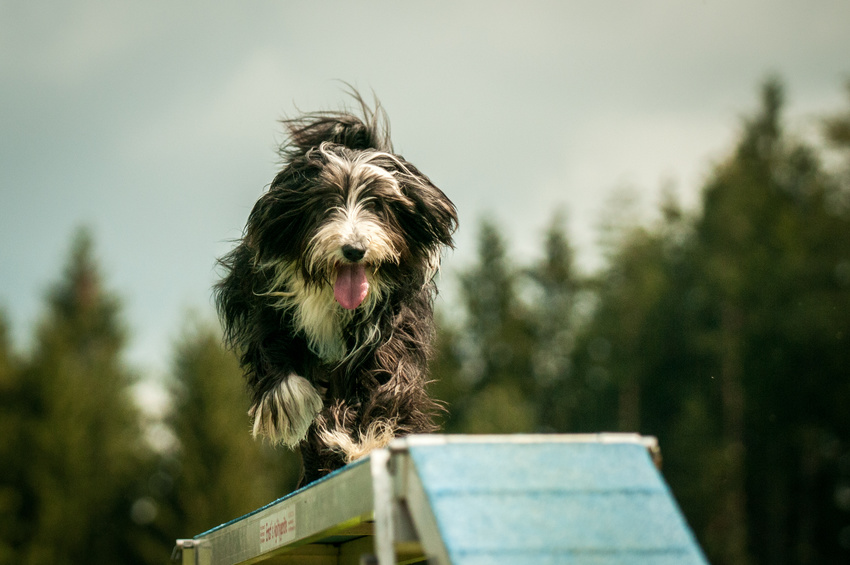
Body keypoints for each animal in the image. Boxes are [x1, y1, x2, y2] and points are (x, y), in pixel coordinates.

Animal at [215, 93, 460, 484]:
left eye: (377, 205)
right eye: (327, 203)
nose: (354, 249)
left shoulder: (389, 327)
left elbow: (384, 378)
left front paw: (364, 437)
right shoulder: (266, 299)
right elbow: (273, 350)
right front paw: (290, 402)